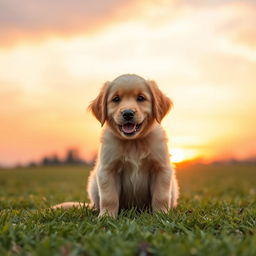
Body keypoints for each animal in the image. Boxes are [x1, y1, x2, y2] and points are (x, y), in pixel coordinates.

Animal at [54, 74, 178, 218]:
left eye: (141, 98)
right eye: (116, 99)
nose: (128, 113)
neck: (133, 142)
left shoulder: (161, 169)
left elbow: (160, 196)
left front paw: (161, 215)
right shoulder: (108, 170)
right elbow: (109, 197)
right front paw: (106, 216)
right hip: (93, 184)